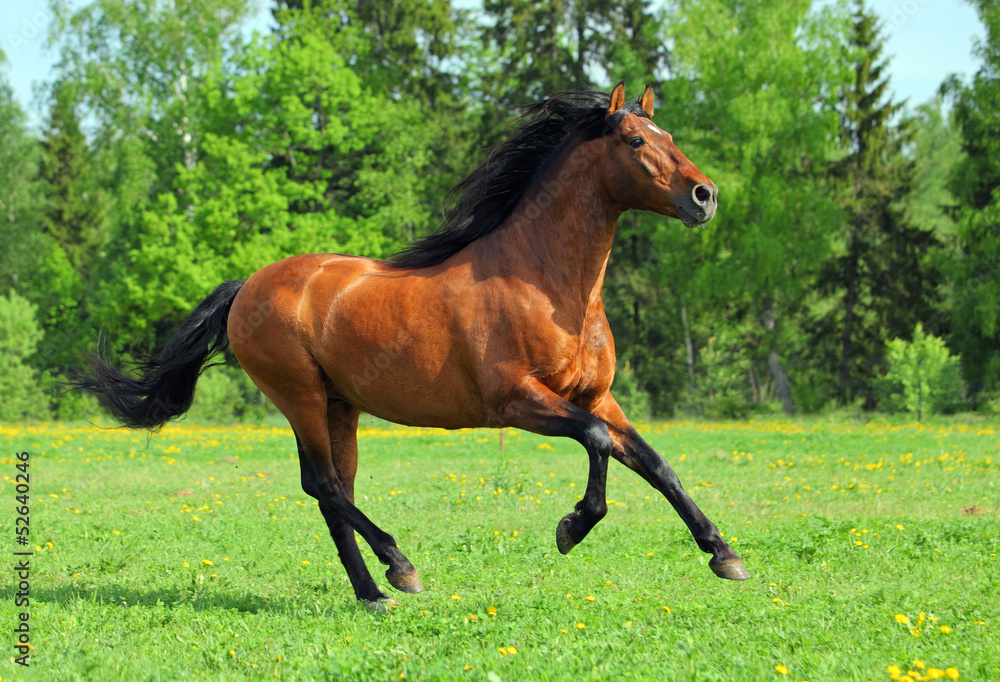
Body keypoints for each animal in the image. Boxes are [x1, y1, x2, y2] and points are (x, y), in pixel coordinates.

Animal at [77, 82, 749, 608]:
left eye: (668, 133)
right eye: (635, 141)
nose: (705, 196)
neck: (547, 283)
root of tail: (248, 286)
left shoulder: (597, 396)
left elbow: (656, 464)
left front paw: (724, 554)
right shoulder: (516, 401)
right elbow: (598, 442)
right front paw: (571, 528)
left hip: (339, 406)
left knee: (334, 490)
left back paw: (373, 593)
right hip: (299, 397)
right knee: (322, 485)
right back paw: (400, 568)